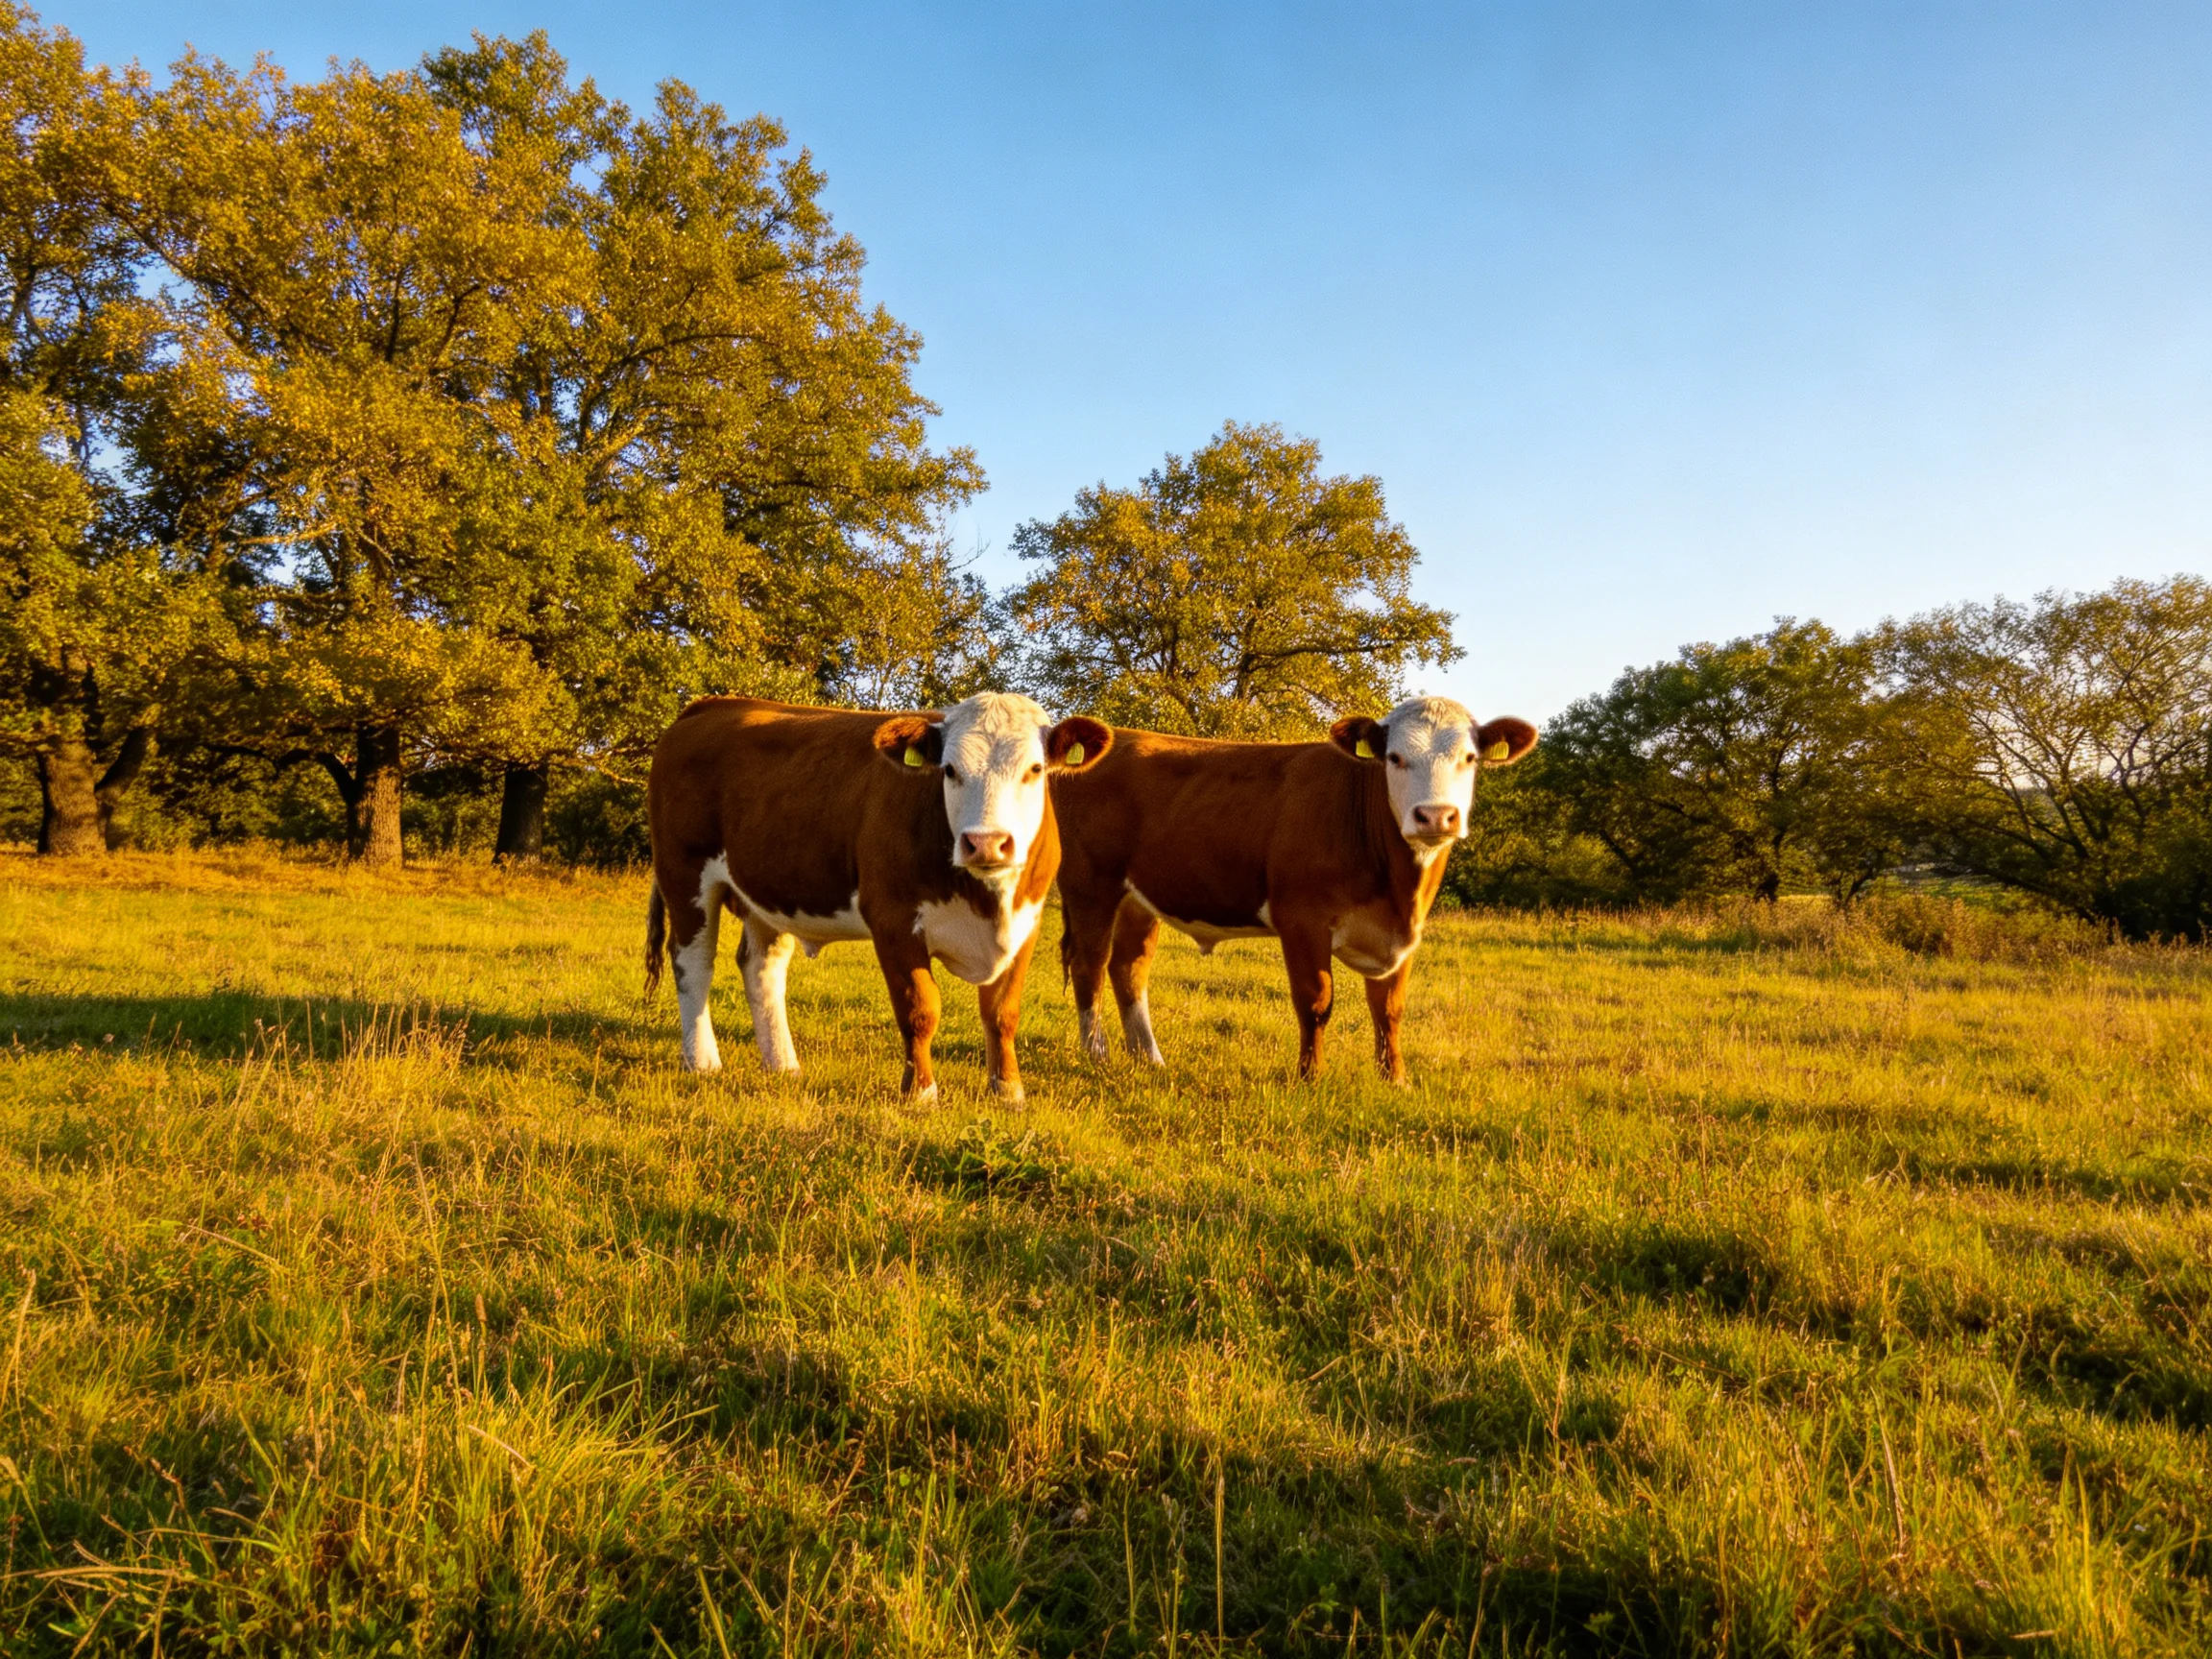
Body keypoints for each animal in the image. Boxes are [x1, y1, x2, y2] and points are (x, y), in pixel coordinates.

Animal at [645, 693, 1112, 1100]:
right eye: (949, 770)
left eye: (1034, 769)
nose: (986, 843)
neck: (987, 901)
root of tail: (712, 705)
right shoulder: (893, 919)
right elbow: (920, 1009)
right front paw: (920, 1094)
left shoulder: (1026, 923)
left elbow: (1002, 1012)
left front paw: (1009, 1092)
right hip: (683, 873)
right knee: (693, 963)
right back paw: (703, 1061)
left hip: (769, 890)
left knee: (761, 968)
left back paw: (783, 1065)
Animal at [1051, 696, 1537, 1082]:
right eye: (1395, 758)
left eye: (1469, 758)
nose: (1435, 816)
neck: (1398, 891)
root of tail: (1115, 737)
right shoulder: (1303, 920)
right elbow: (1316, 1001)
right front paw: (1310, 1078)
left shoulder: (1402, 935)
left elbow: (1389, 1009)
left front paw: (1395, 1080)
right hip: (1090, 887)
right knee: (1090, 966)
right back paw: (1097, 1055)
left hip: (1137, 899)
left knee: (1128, 969)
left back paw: (1148, 1058)